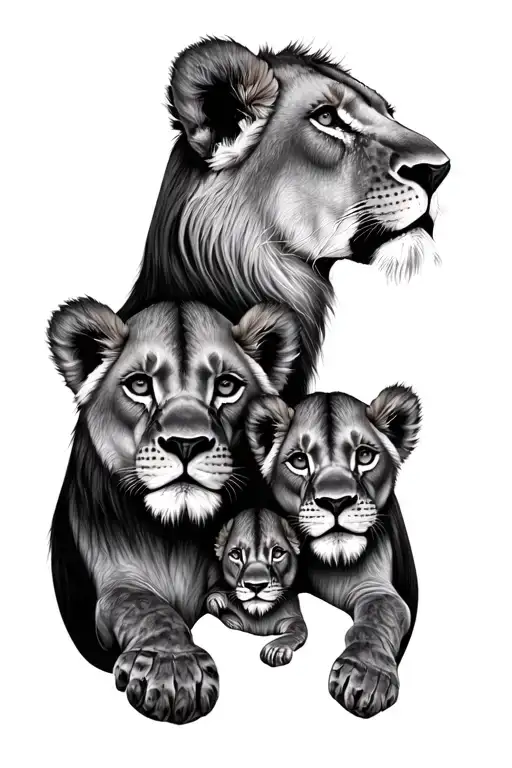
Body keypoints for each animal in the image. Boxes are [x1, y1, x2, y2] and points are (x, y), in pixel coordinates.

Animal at [206, 508, 307, 666]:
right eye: (236, 554)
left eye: (277, 553)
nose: (255, 586)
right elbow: (214, 595)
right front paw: (217, 601)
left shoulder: (294, 619)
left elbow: (297, 631)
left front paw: (275, 650)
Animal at [246, 385, 421, 718]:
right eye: (299, 460)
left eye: (364, 455)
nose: (336, 501)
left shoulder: (373, 588)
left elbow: (377, 620)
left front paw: (367, 675)